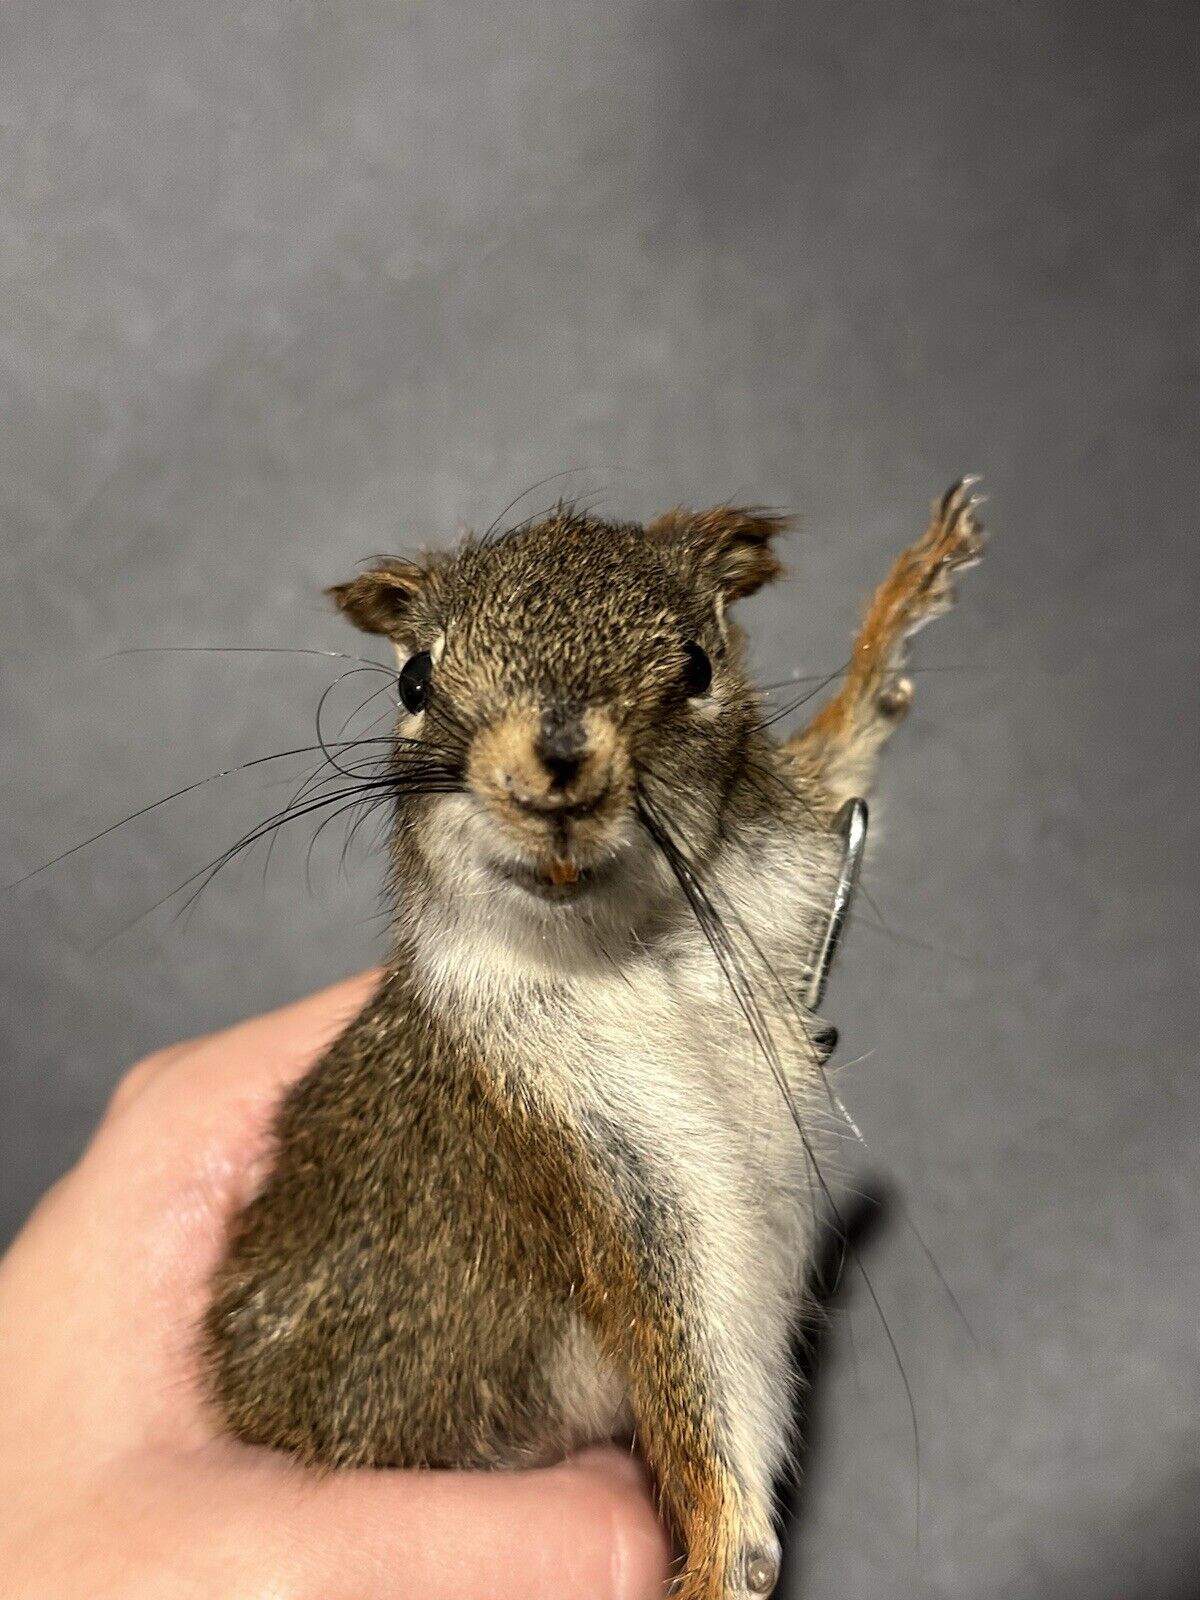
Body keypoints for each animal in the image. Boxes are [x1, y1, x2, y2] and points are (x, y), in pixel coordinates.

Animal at [203, 479, 985, 1600]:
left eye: (699, 665)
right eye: (413, 676)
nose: (558, 767)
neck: (624, 949)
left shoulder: (776, 882)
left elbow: (838, 763)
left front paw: (901, 610)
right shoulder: (600, 1171)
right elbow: (704, 1408)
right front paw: (722, 1555)